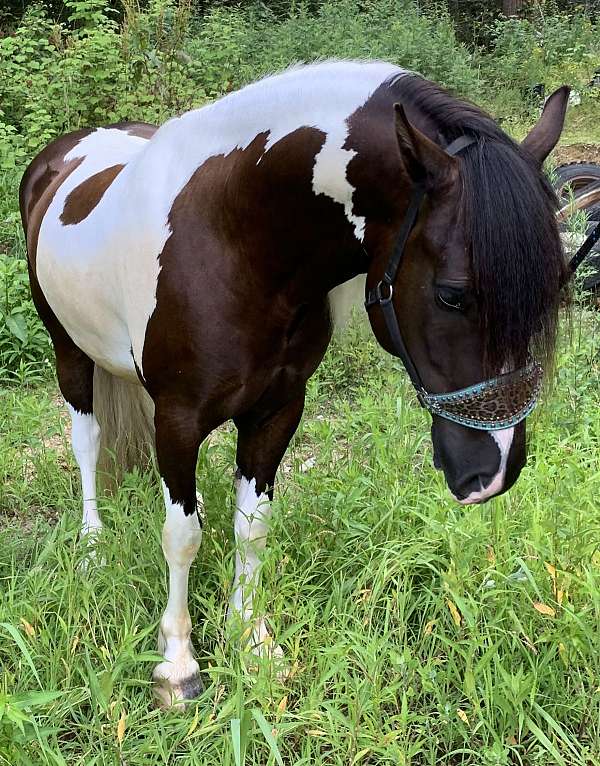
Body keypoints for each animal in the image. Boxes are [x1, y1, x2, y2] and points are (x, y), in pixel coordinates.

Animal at [18, 60, 568, 708]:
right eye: (452, 294)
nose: (494, 471)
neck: (232, 237)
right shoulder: (177, 418)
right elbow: (182, 533)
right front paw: (177, 665)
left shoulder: (278, 409)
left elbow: (251, 528)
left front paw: (252, 643)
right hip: (68, 350)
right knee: (87, 442)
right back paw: (93, 545)